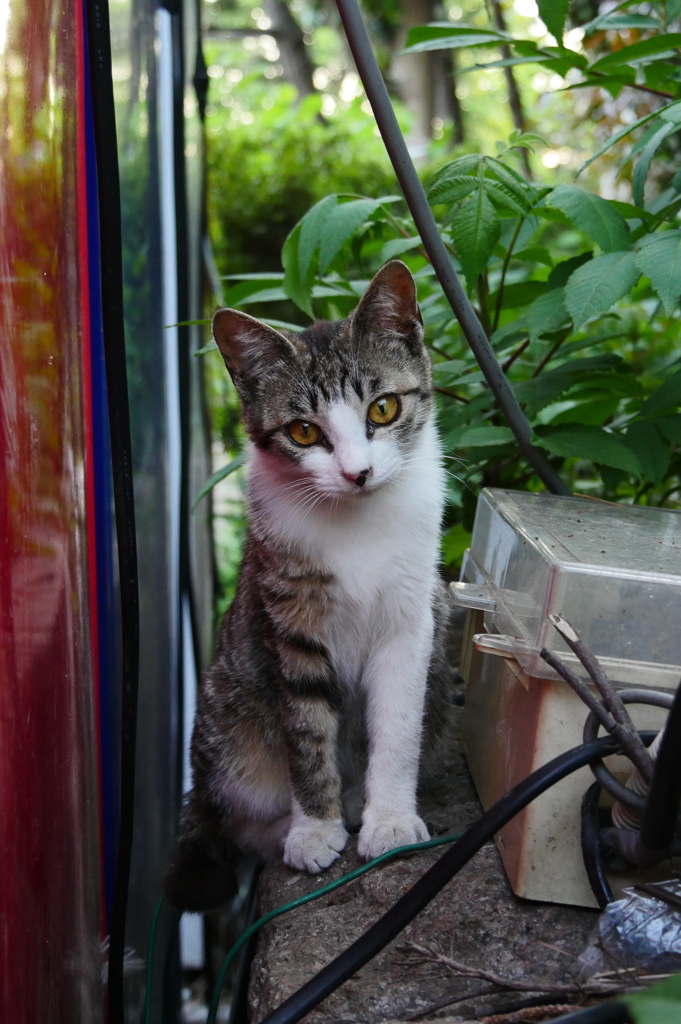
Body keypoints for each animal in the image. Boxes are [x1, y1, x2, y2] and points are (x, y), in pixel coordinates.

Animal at [163, 260, 450, 909]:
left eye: (383, 409)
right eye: (302, 432)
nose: (357, 472)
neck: (357, 523)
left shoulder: (412, 618)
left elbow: (399, 724)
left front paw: (390, 819)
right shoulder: (287, 621)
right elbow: (305, 732)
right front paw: (314, 828)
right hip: (231, 726)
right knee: (235, 818)